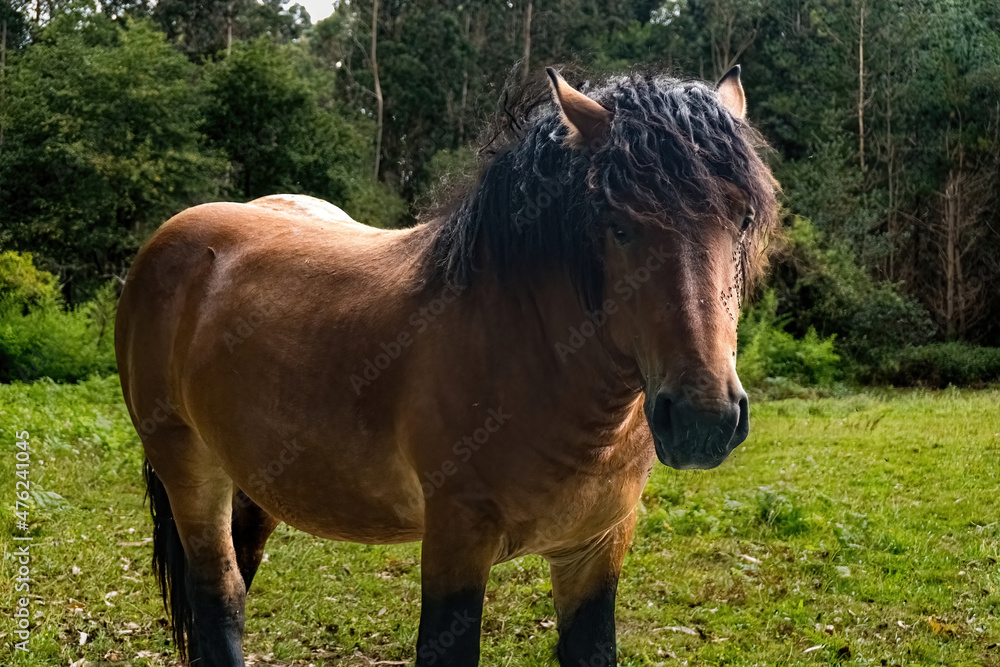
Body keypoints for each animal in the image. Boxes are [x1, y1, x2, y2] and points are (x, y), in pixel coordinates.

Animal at [115, 65, 777, 666]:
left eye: (742, 219)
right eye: (617, 226)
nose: (703, 420)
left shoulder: (596, 548)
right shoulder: (456, 542)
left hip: (255, 482)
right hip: (188, 467)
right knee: (218, 597)